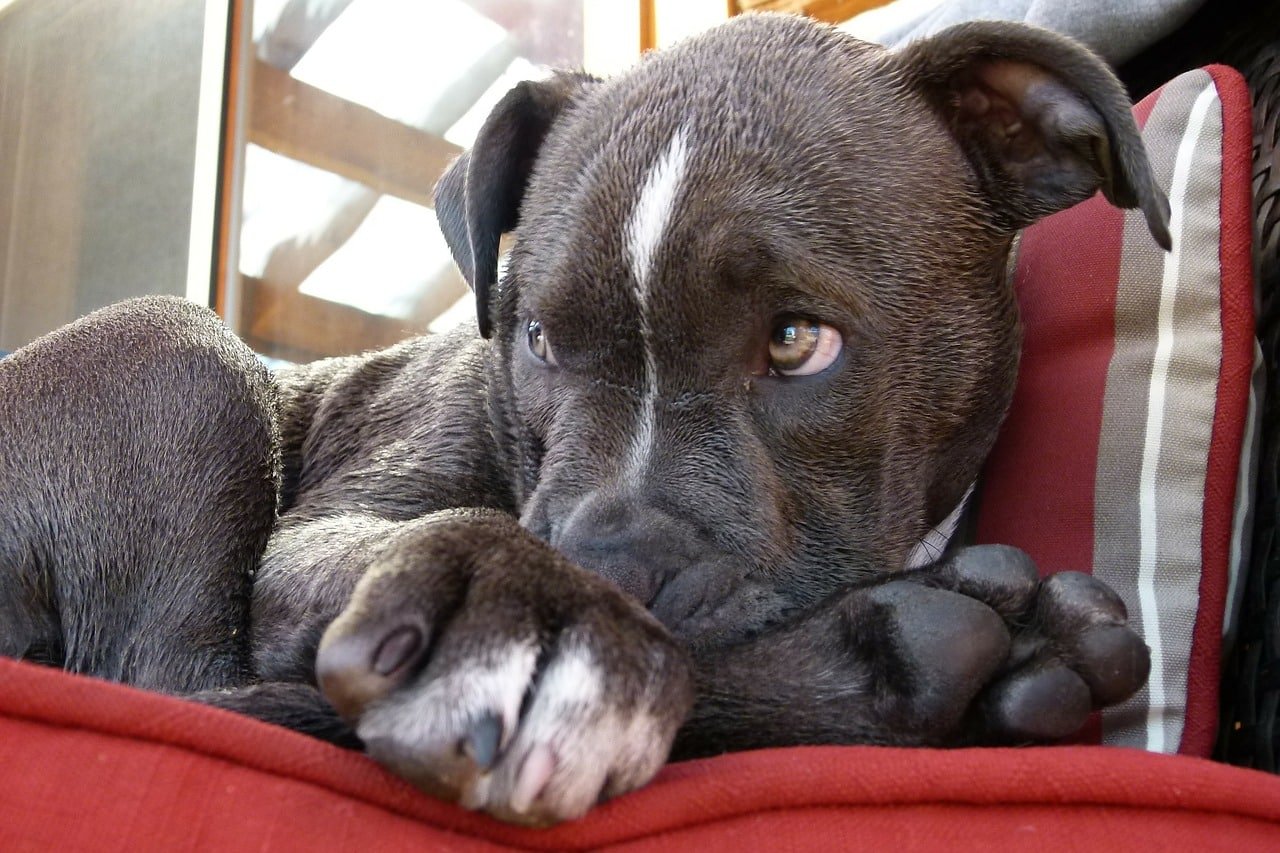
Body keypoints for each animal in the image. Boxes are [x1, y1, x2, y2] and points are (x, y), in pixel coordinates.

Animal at [0, 13, 1167, 824]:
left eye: (798, 340)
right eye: (537, 340)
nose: (609, 561)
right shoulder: (317, 537)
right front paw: (525, 607)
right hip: (174, 358)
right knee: (177, 682)